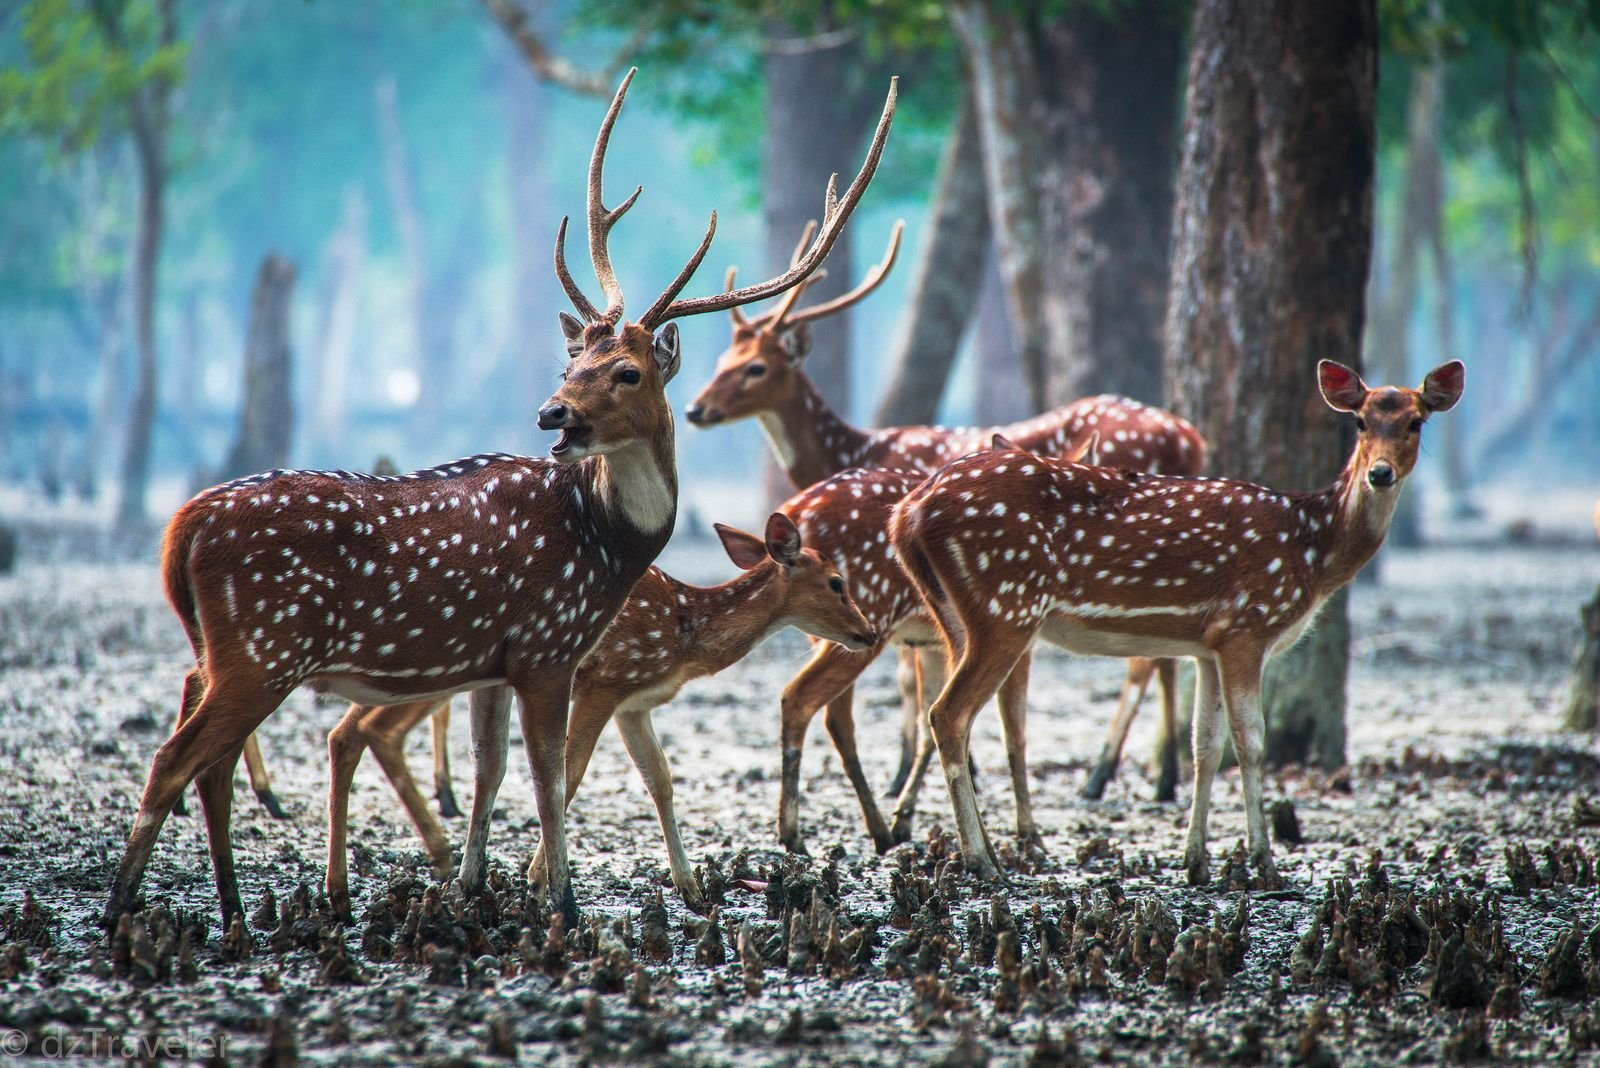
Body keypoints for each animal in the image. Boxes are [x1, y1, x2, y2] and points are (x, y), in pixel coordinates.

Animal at [104, 70, 896, 927]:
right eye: (572, 364)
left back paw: (234, 910)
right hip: (263, 646)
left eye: (627, 371)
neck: (606, 545)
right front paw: (564, 904)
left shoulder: (496, 661)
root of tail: (180, 529)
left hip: (227, 652)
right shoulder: (551, 646)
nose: (553, 414)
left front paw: (479, 887)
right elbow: (550, 774)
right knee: (176, 757)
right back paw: (128, 911)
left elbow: (497, 772)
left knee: (206, 761)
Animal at [889, 358, 1465, 882]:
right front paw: (1263, 862)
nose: (1380, 473)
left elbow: (1204, 745)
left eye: (1416, 422)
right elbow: (1250, 741)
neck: (1311, 551)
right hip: (1006, 605)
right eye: (1360, 421)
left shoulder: (1208, 645)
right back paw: (981, 862)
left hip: (955, 616)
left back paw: (984, 850)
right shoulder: (1247, 626)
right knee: (948, 714)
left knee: (957, 715)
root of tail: (907, 513)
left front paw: (1196, 862)